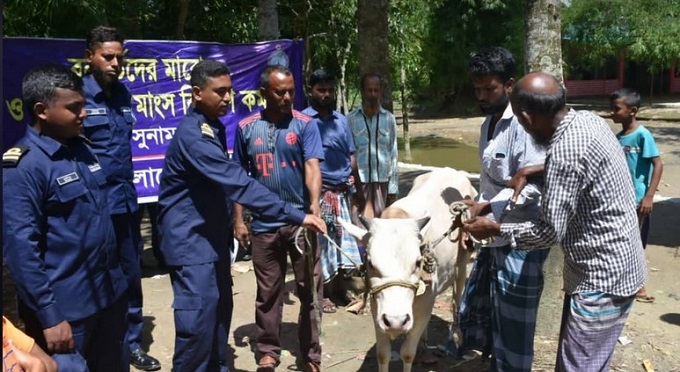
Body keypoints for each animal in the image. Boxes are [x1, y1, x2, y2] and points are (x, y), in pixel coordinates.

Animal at [342, 169, 476, 372]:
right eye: (371, 263)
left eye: (417, 262)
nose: (396, 321)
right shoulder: (377, 308)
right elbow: (383, 354)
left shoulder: (423, 306)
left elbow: (406, 353)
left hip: (462, 261)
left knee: (456, 298)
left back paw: (455, 337)